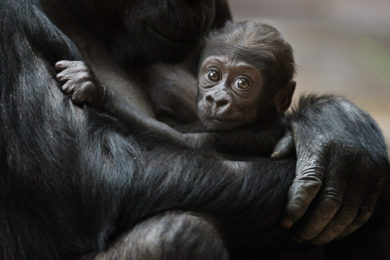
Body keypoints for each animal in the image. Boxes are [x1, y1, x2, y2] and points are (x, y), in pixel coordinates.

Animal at [54, 21, 296, 155]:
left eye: (242, 83)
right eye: (213, 75)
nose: (217, 100)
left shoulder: (251, 136)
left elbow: (185, 143)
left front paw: (96, 89)